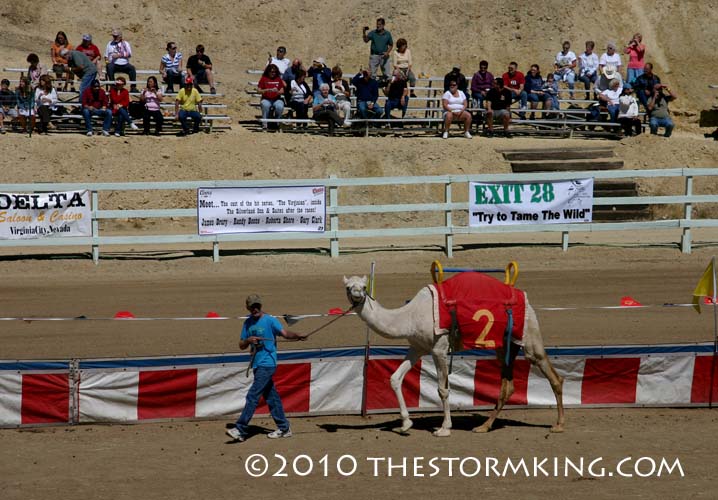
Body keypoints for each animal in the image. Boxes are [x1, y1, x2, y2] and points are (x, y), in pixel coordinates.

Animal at [343, 275, 564, 437]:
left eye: (364, 286)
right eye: (348, 287)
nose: (357, 295)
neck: (410, 317)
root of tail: (526, 298)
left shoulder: (439, 349)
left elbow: (443, 389)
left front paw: (444, 428)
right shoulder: (417, 347)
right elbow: (395, 378)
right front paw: (405, 424)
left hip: (529, 335)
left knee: (552, 375)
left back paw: (558, 424)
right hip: (504, 345)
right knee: (508, 385)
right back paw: (483, 426)